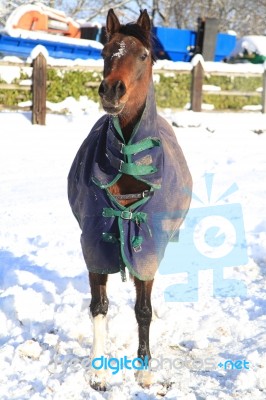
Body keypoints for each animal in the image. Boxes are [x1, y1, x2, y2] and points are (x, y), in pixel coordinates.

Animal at [67, 8, 192, 390]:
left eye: (144, 55)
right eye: (106, 51)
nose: (112, 90)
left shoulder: (148, 249)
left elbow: (143, 310)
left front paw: (144, 370)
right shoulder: (94, 243)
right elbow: (99, 307)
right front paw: (97, 372)